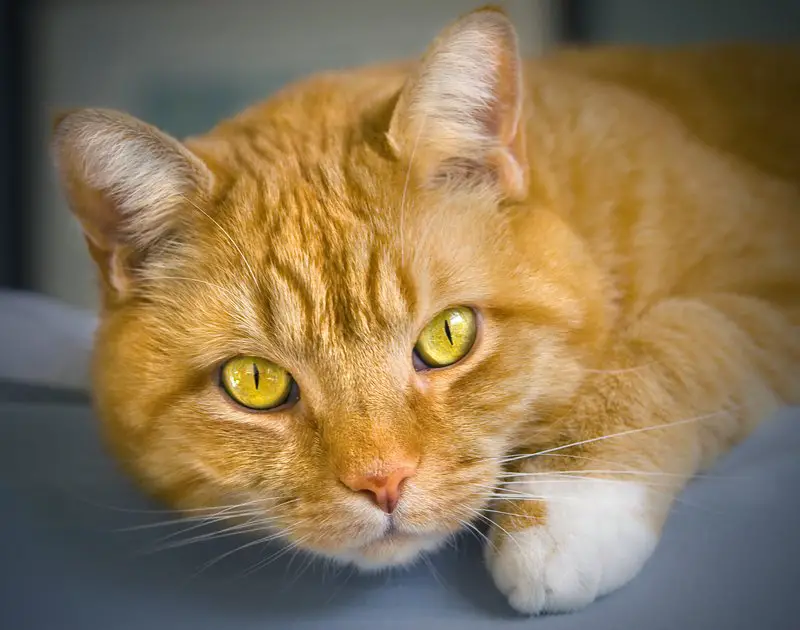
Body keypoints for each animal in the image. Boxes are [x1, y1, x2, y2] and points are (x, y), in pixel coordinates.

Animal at [50, 4, 800, 616]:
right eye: (255, 382)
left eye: (448, 335)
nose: (383, 483)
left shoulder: (770, 272)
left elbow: (676, 341)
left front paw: (568, 508)